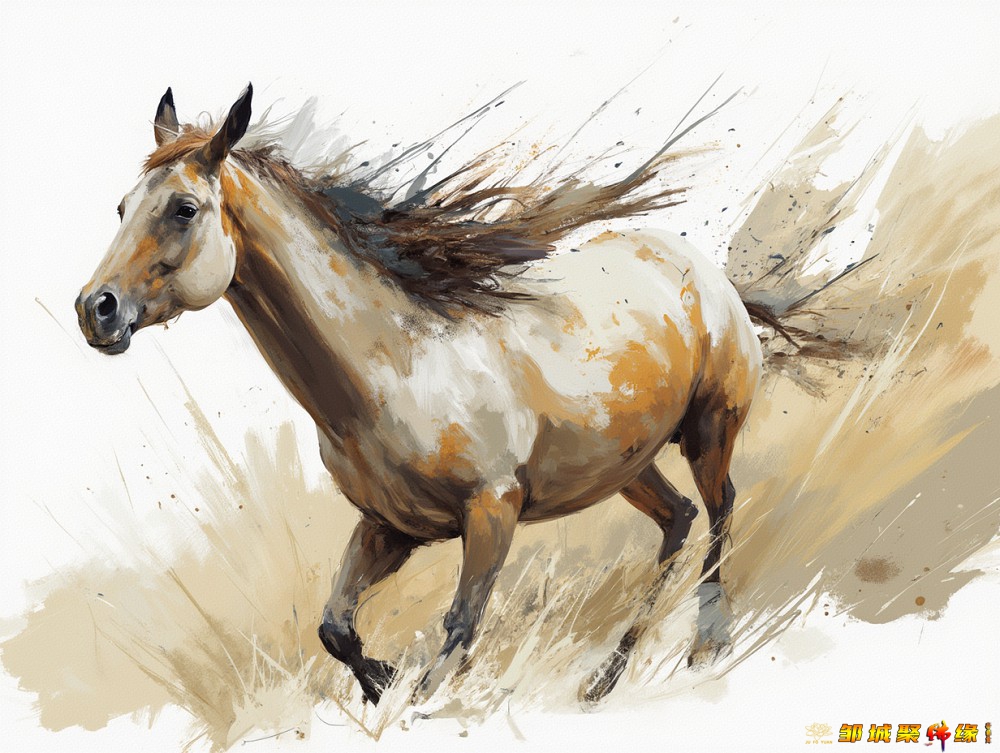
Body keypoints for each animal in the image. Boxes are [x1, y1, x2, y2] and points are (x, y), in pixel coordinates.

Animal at [76, 85, 763, 706]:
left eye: (184, 208)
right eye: (121, 207)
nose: (95, 310)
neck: (396, 367)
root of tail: (699, 266)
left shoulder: (492, 511)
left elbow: (457, 634)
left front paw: (408, 697)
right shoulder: (389, 526)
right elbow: (335, 626)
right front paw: (380, 682)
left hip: (708, 431)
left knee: (720, 509)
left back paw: (708, 644)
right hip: (622, 464)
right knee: (678, 520)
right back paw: (604, 679)